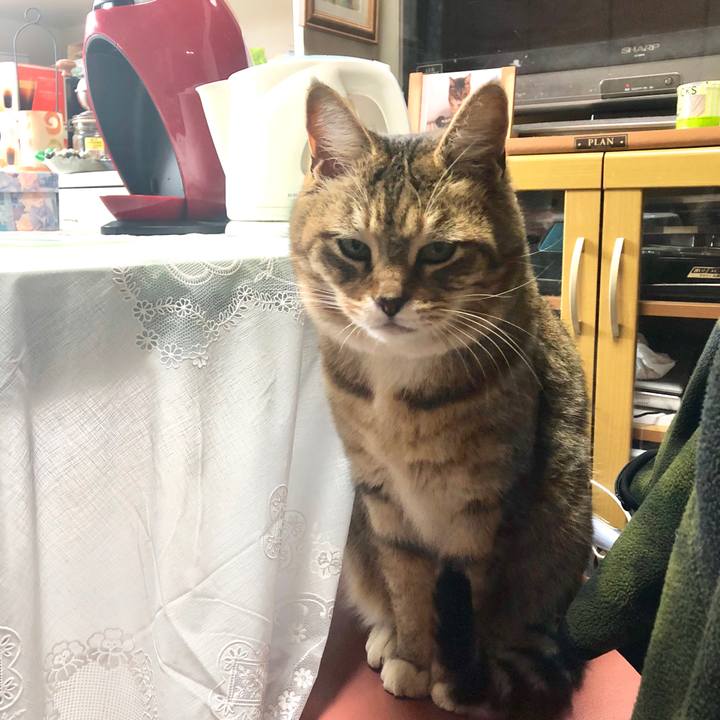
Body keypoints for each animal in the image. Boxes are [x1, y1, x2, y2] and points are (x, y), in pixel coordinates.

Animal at [290, 80, 592, 719]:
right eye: (353, 248)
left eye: (438, 253)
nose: (388, 302)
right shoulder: (384, 500)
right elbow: (406, 588)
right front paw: (412, 655)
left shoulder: (482, 508)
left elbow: (468, 599)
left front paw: (449, 676)